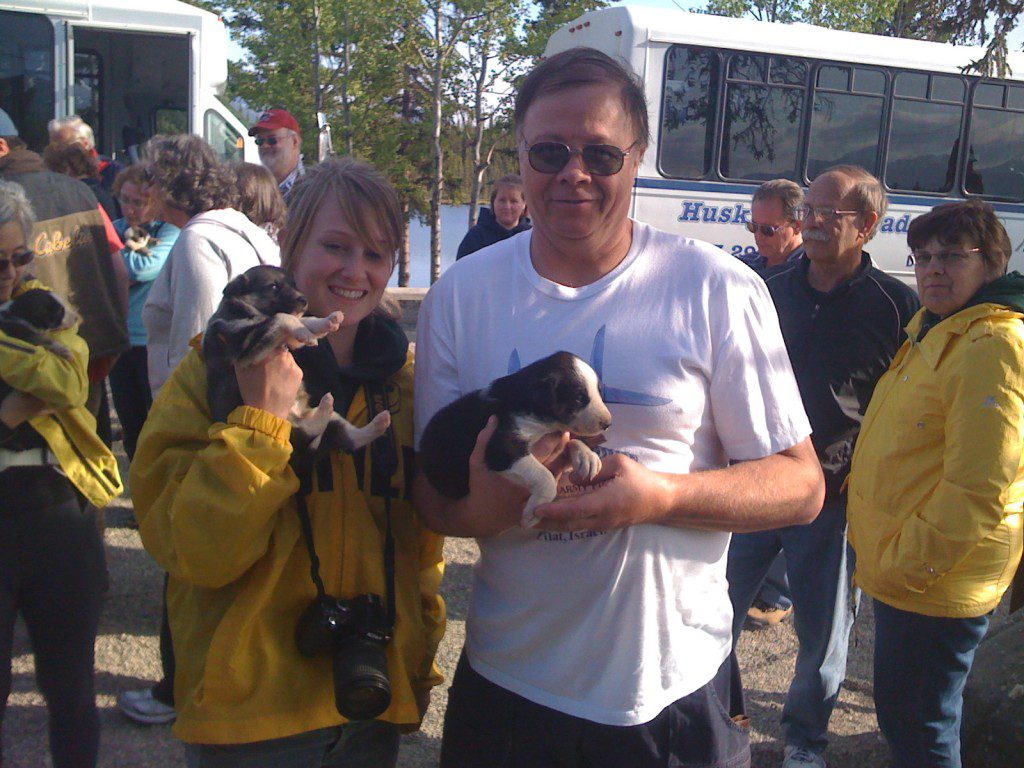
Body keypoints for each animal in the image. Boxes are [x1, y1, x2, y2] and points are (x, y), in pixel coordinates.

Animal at [203, 266, 391, 462]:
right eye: (273, 286)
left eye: (294, 284)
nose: (304, 300)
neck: (247, 308)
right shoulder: (245, 343)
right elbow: (283, 317)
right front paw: (310, 332)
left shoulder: (283, 339)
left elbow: (302, 320)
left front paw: (327, 321)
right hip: (286, 422)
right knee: (312, 428)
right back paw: (327, 405)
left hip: (328, 419)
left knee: (347, 435)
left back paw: (378, 422)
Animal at [417, 354, 610, 528]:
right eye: (578, 398)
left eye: (599, 391)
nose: (608, 423)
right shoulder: (502, 447)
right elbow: (544, 476)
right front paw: (534, 511)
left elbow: (572, 440)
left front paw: (587, 457)